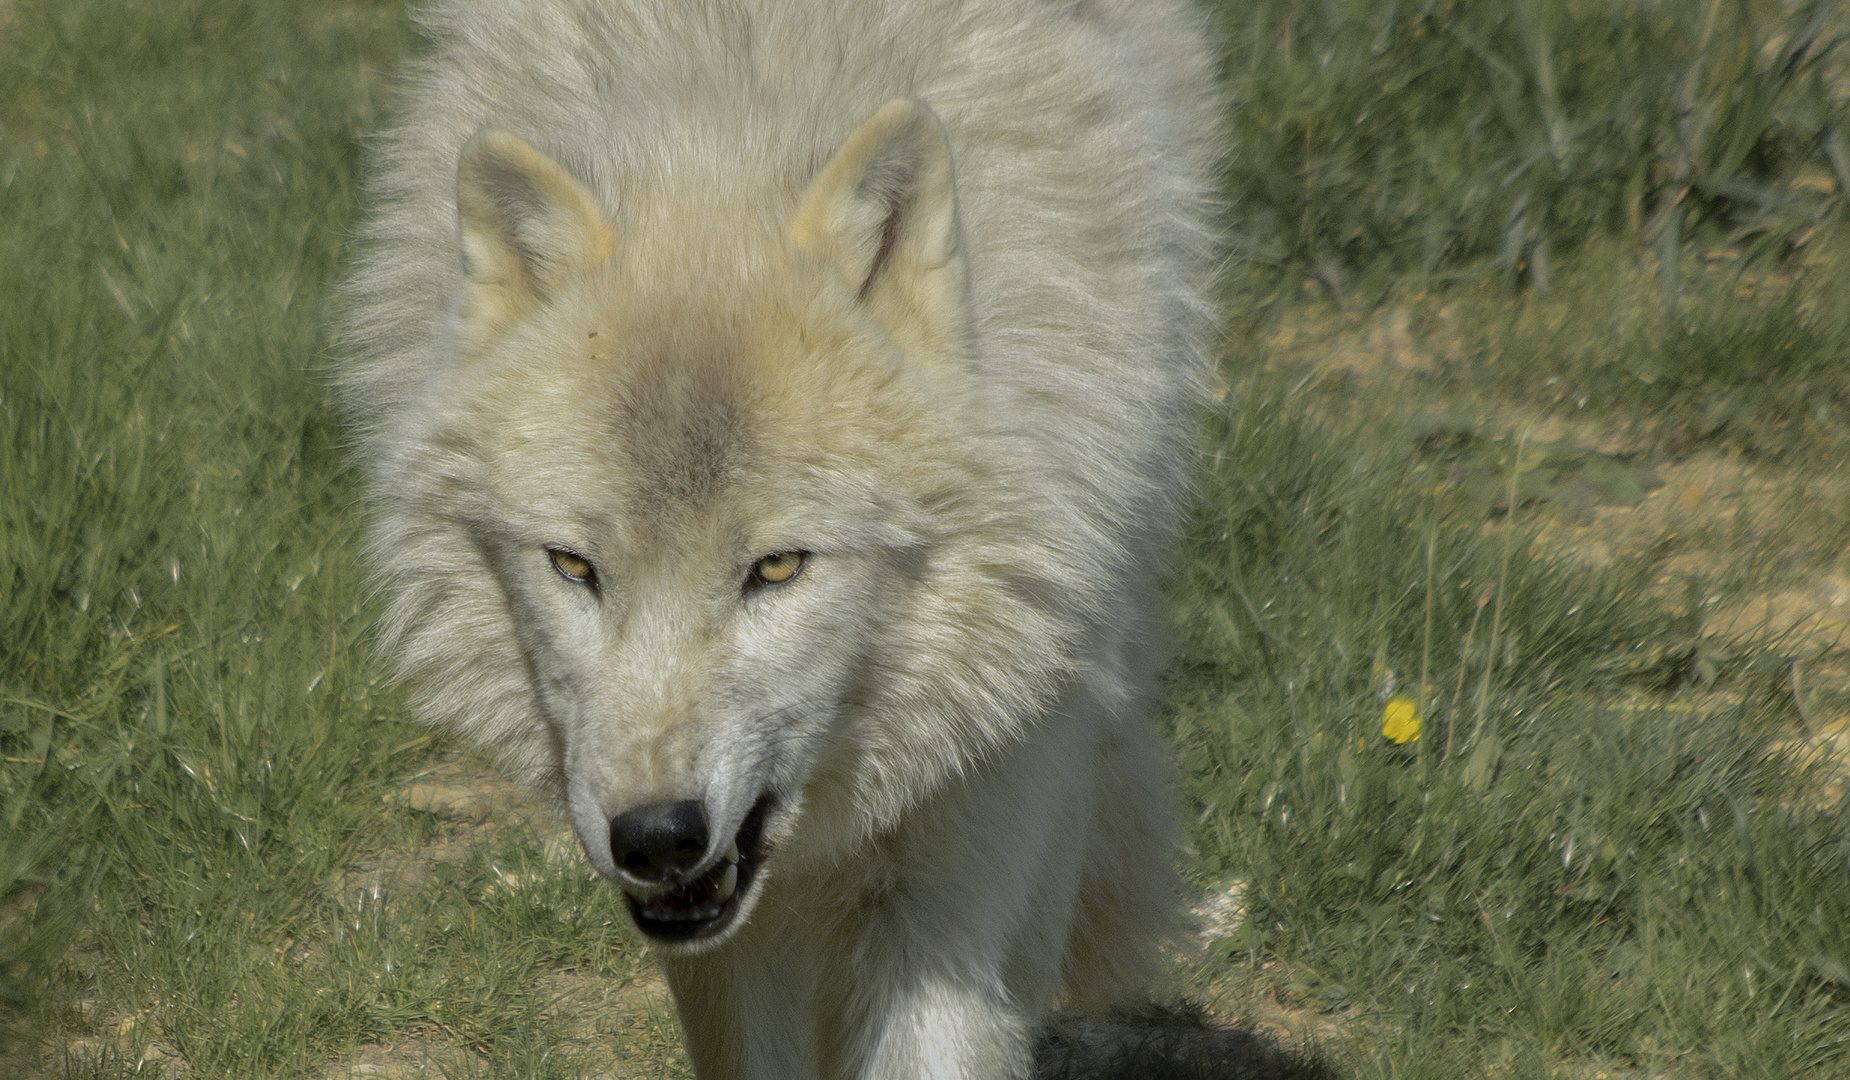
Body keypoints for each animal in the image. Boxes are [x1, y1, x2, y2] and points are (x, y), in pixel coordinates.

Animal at [340, 0, 1221, 1072]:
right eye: (574, 566)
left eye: (779, 565)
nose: (655, 836)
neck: (730, 133)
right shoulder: (724, 946)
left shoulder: (963, 853)